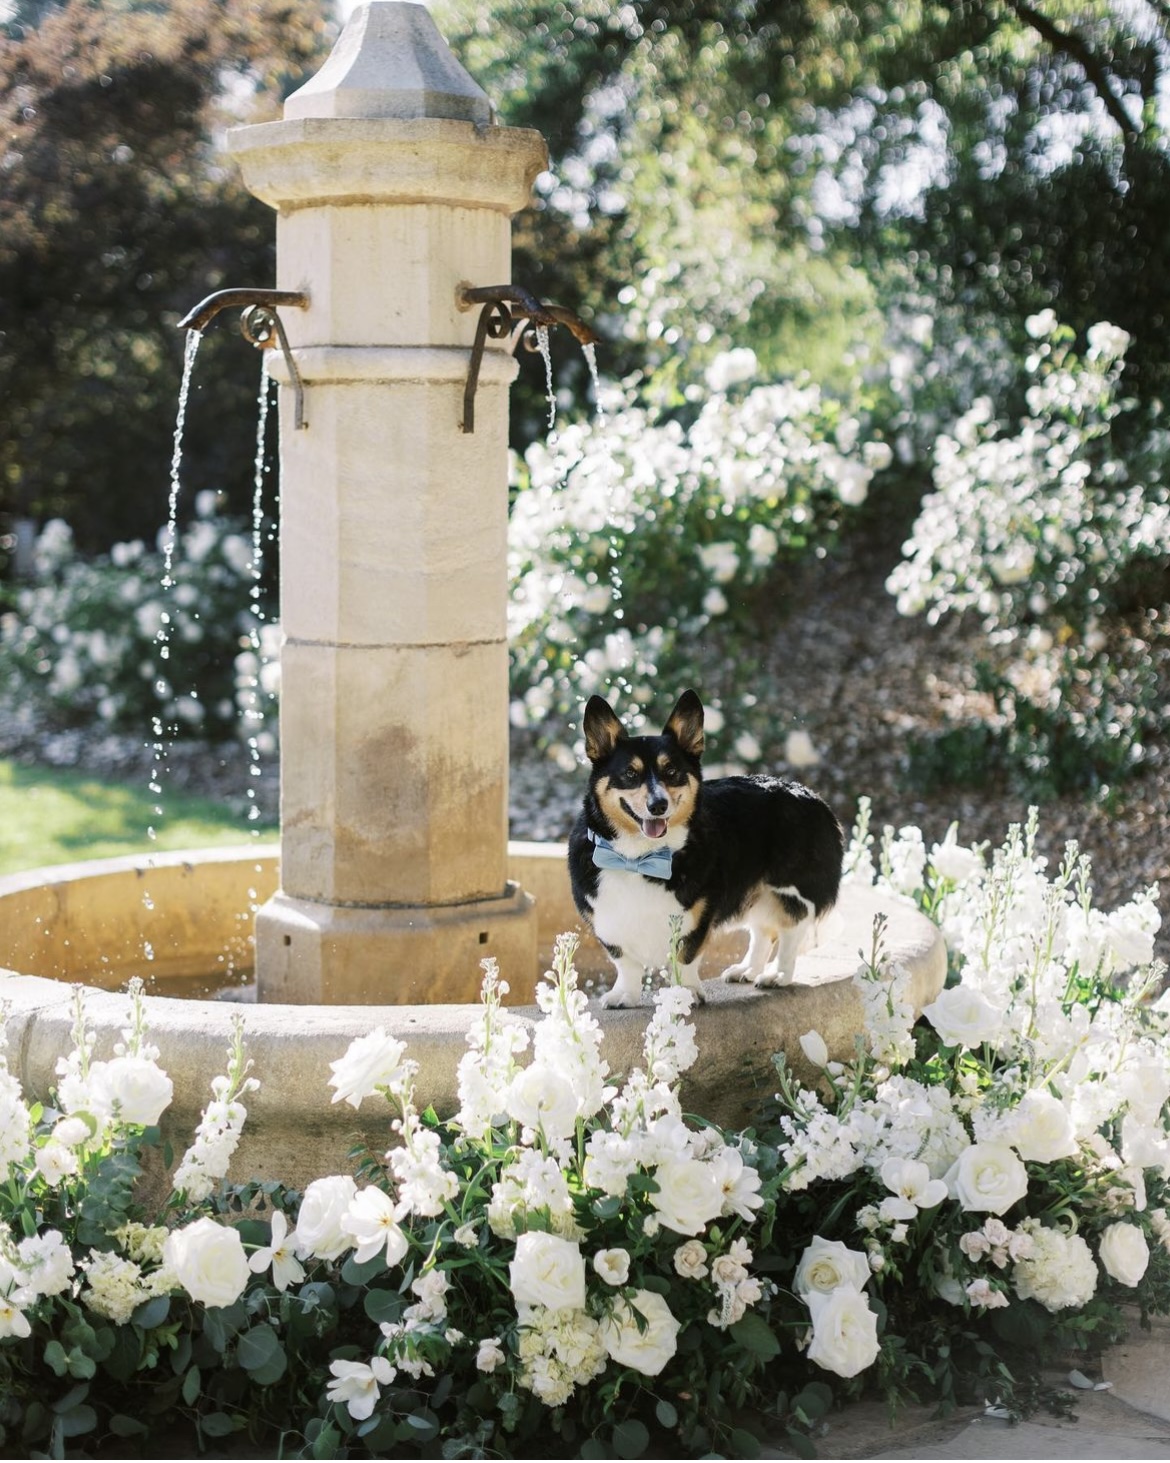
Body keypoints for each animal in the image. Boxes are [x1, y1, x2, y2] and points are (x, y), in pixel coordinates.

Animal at [567, 690, 842, 1012]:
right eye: (630, 774)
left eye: (672, 771)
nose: (658, 805)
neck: (640, 858)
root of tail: (813, 797)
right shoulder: (607, 921)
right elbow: (626, 963)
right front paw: (625, 995)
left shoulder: (698, 917)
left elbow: (686, 957)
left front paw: (684, 994)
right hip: (757, 892)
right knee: (762, 930)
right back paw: (747, 970)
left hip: (790, 890)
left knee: (790, 930)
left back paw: (777, 975)